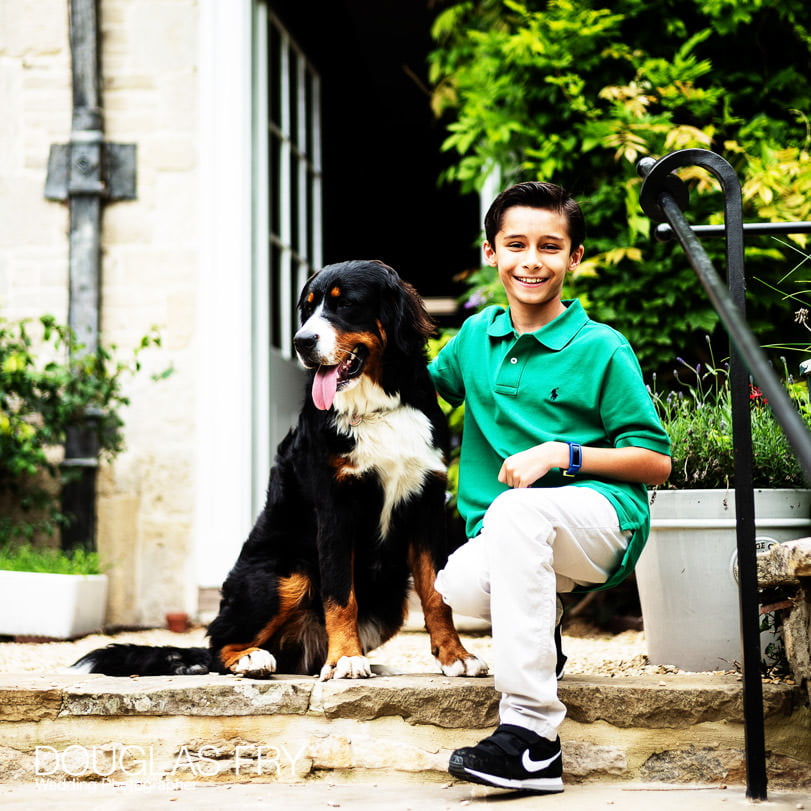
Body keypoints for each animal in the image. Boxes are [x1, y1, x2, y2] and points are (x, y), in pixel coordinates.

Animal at [73, 260, 486, 680]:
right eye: (307, 307)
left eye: (345, 304)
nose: (301, 341)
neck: (377, 407)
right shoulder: (335, 508)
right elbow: (340, 594)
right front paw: (346, 659)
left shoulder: (427, 503)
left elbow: (436, 593)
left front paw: (455, 655)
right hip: (284, 573)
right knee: (220, 646)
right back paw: (254, 658)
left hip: (388, 599)